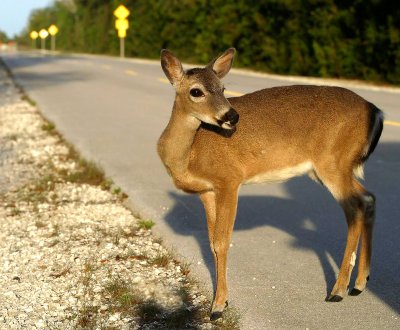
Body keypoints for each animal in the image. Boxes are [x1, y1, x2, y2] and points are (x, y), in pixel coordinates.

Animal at [157, 47, 384, 320]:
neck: (190, 154)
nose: (232, 116)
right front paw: (220, 301)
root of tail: (376, 111)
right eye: (196, 91)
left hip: (333, 162)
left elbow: (222, 242)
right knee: (369, 198)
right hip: (334, 168)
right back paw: (360, 284)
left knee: (355, 208)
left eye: (223, 88)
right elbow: (211, 243)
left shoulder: (229, 179)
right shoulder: (206, 190)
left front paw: (218, 306)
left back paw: (338, 290)